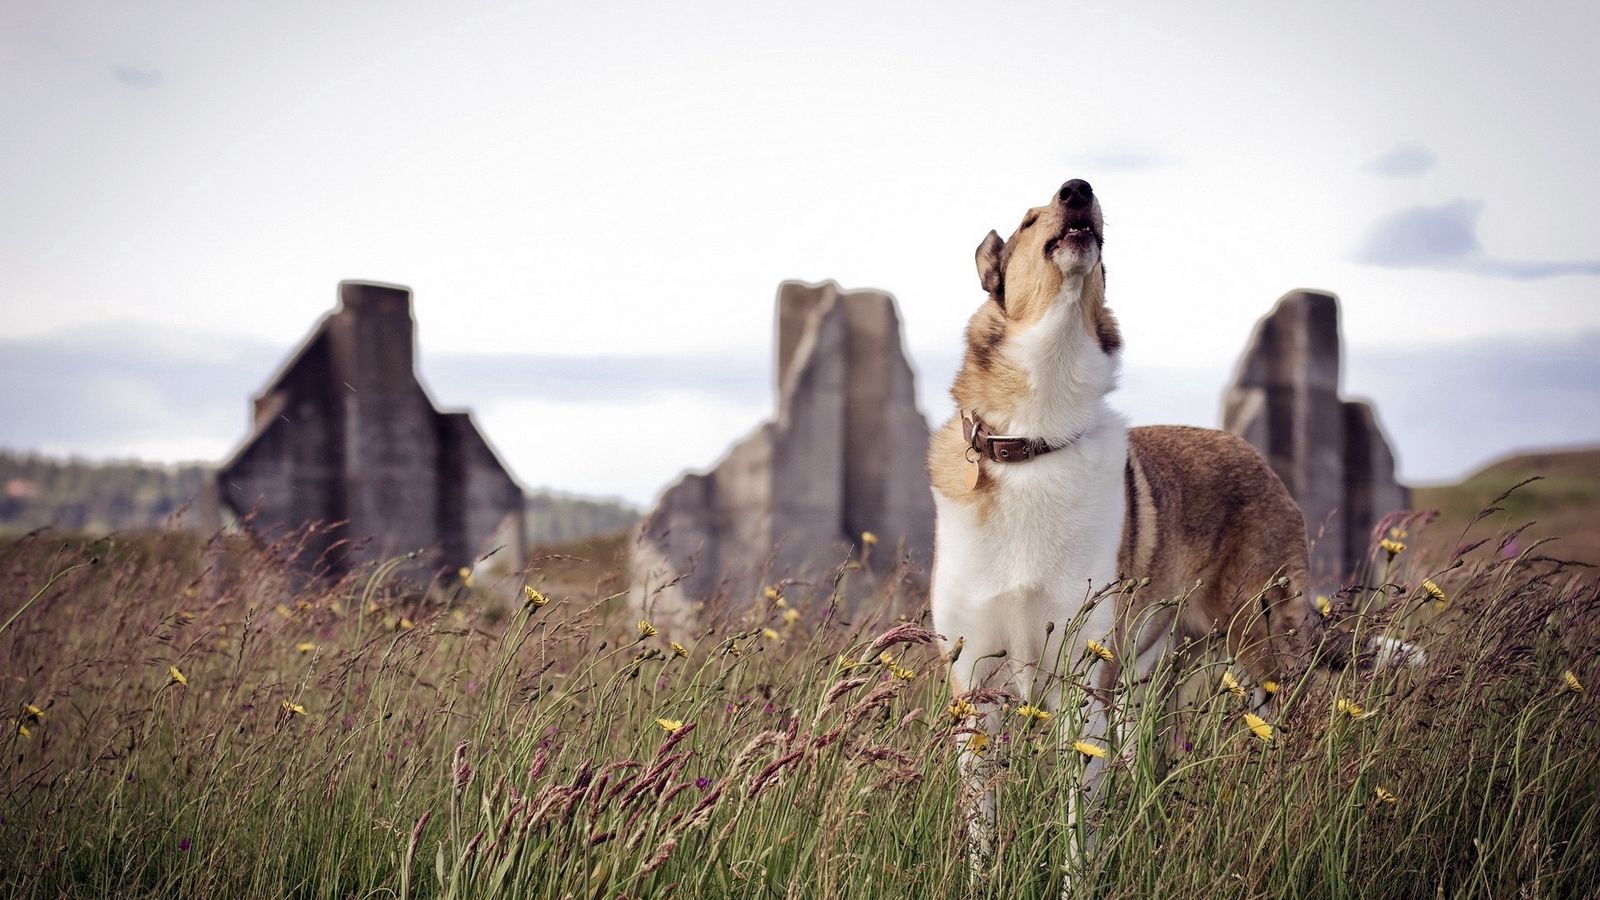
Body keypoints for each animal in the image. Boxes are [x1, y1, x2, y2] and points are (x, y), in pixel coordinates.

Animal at [934, 176, 1344, 871]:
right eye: (1028, 220)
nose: (1078, 189)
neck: (1034, 439)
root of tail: (1256, 456)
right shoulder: (975, 686)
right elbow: (981, 831)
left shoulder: (1080, 684)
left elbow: (1079, 832)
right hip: (1143, 680)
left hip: (1257, 648)